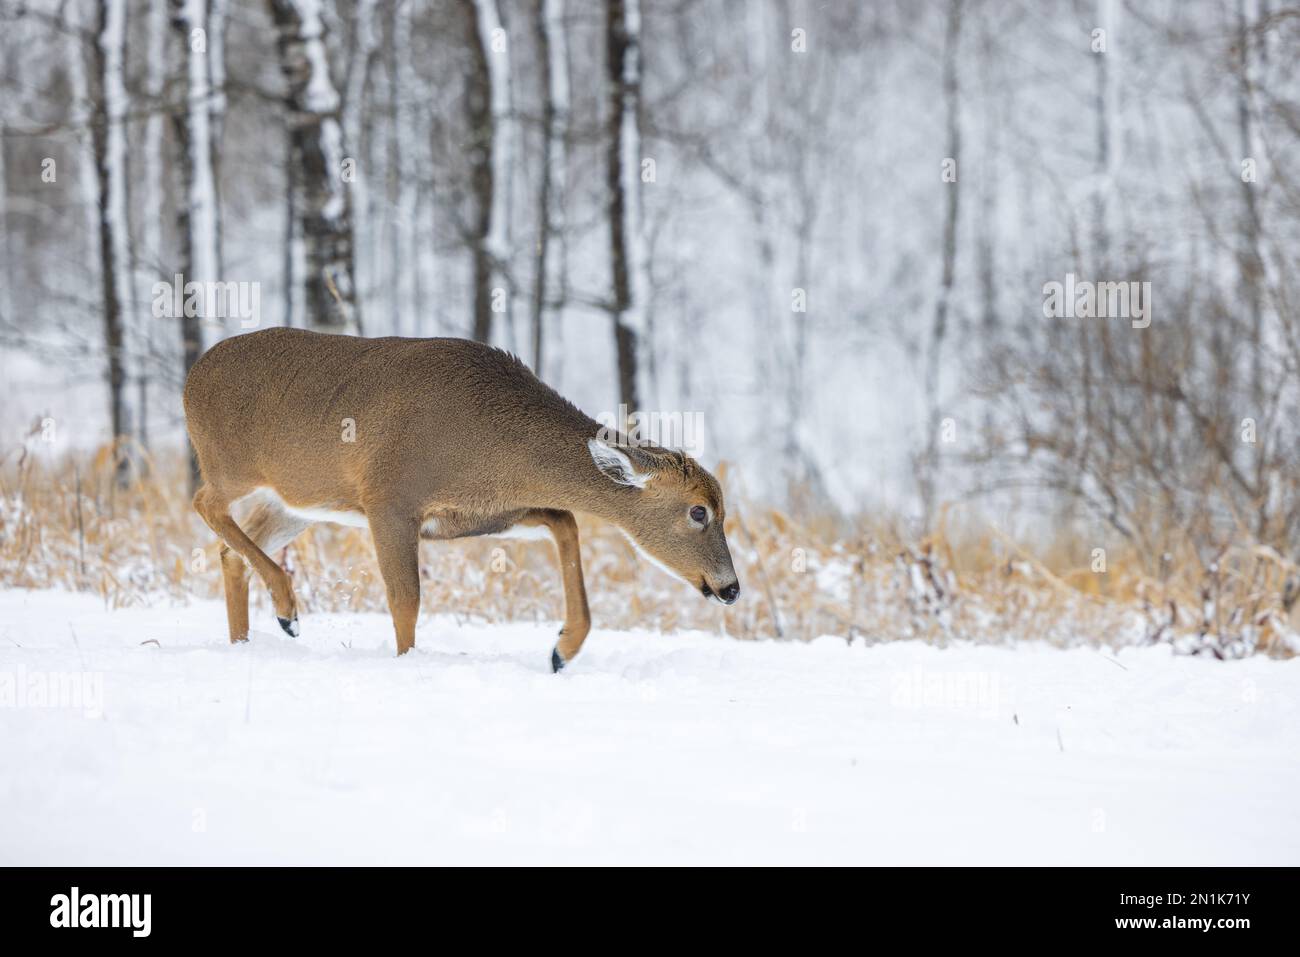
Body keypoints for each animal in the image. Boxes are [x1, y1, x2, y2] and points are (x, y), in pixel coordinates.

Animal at [180, 328, 743, 670]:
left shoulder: (485, 515)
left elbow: (565, 520)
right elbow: (406, 598)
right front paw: (406, 662)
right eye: (699, 511)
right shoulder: (389, 497)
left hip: (295, 504)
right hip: (230, 465)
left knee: (231, 550)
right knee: (205, 503)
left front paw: (562, 649)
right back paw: (286, 610)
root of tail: (191, 376)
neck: (491, 443)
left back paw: (244, 641)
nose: (731, 587)